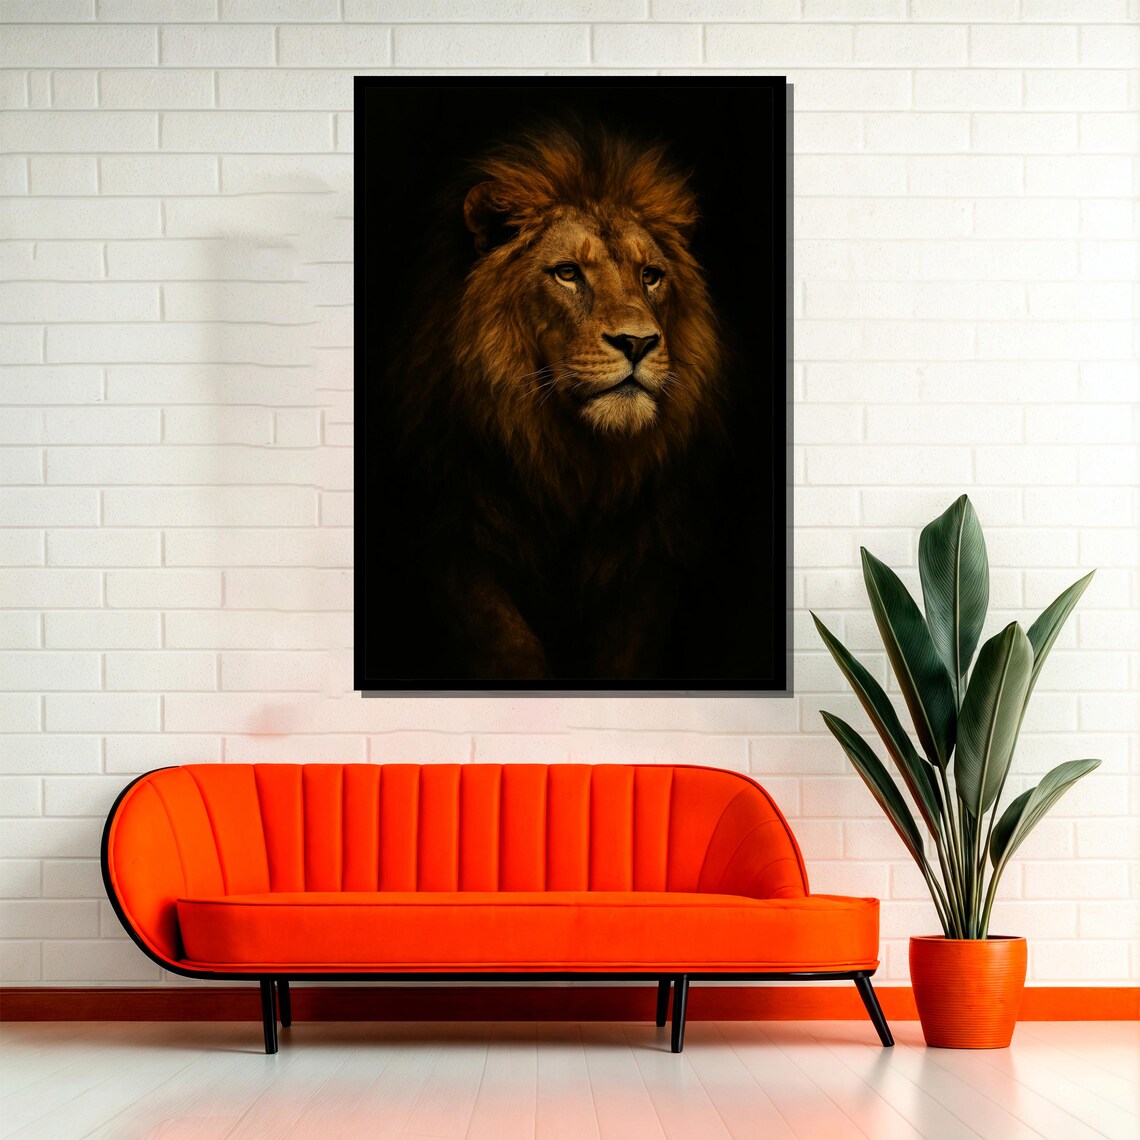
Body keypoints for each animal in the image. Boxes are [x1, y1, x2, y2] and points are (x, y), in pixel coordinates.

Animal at [376, 123, 732, 681]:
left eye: (650, 275)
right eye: (567, 273)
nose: (638, 343)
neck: (570, 464)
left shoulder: (652, 555)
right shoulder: (454, 540)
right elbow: (507, 645)